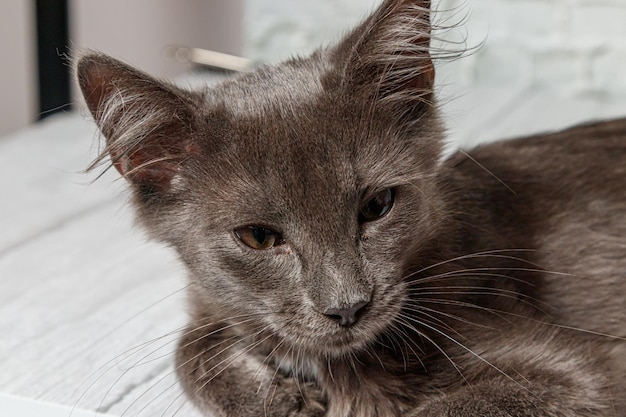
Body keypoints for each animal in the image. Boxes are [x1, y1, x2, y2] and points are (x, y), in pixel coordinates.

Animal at [78, 0, 624, 416]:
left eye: (377, 205)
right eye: (258, 237)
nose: (347, 308)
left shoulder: (585, 372)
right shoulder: (209, 301)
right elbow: (189, 342)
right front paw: (278, 397)